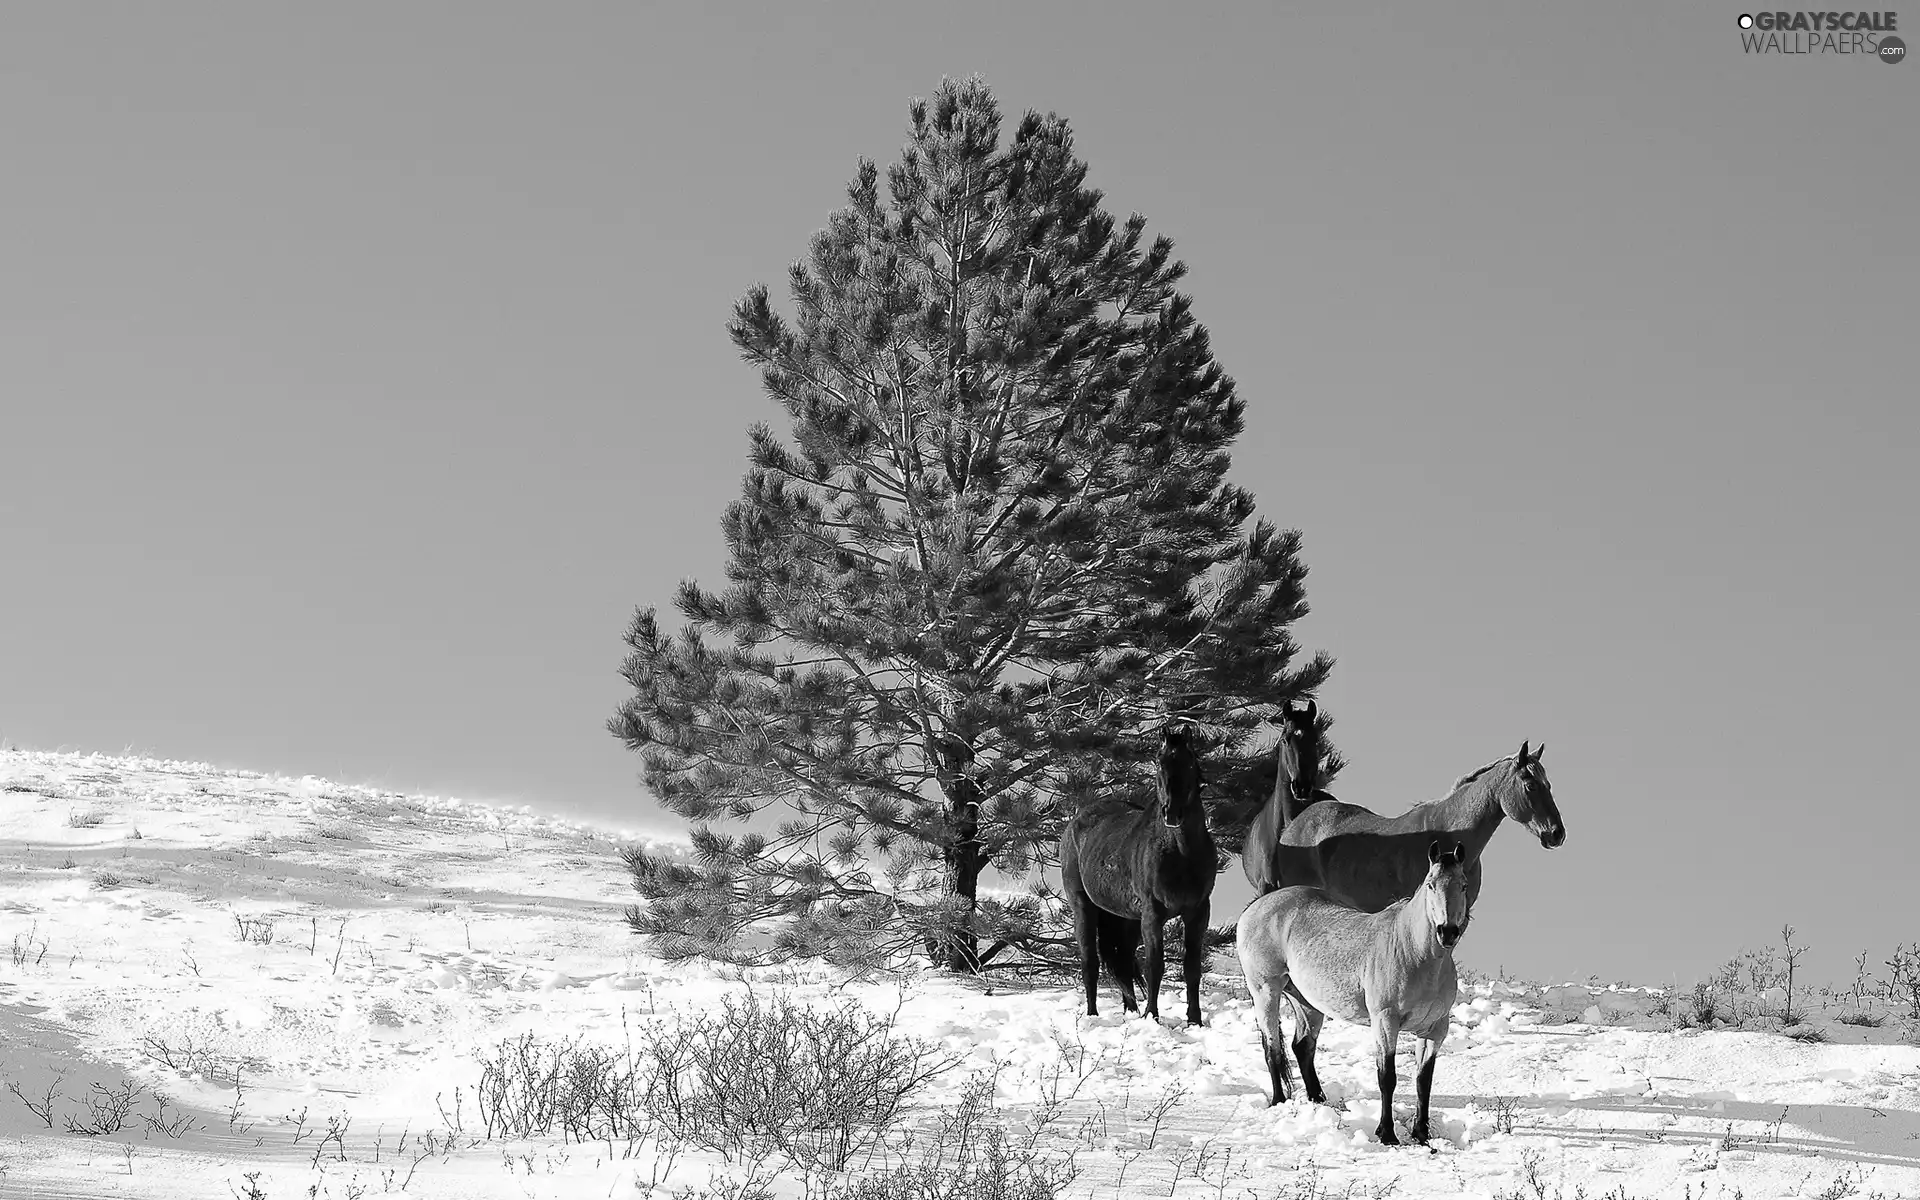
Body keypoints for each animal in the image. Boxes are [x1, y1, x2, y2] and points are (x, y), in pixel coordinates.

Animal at [1052, 725, 1213, 1021]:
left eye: (1189, 762)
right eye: (1159, 763)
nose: (1172, 813)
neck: (1181, 852)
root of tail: (1075, 823)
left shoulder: (1198, 912)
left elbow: (1192, 968)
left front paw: (1194, 1020)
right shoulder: (1152, 914)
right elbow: (1155, 966)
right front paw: (1152, 1016)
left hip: (1124, 918)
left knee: (1123, 961)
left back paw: (1130, 1010)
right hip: (1083, 906)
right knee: (1090, 962)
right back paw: (1093, 1015)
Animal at [1236, 837, 1474, 1144]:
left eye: (1464, 885)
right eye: (1431, 884)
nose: (1448, 931)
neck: (1412, 951)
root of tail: (1256, 907)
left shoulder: (1435, 1029)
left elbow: (1424, 1081)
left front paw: (1422, 1135)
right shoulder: (1385, 1022)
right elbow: (1387, 1077)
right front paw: (1387, 1134)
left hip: (1307, 1002)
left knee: (1302, 1047)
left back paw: (1318, 1100)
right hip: (1265, 991)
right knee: (1272, 1048)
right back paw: (1280, 1101)